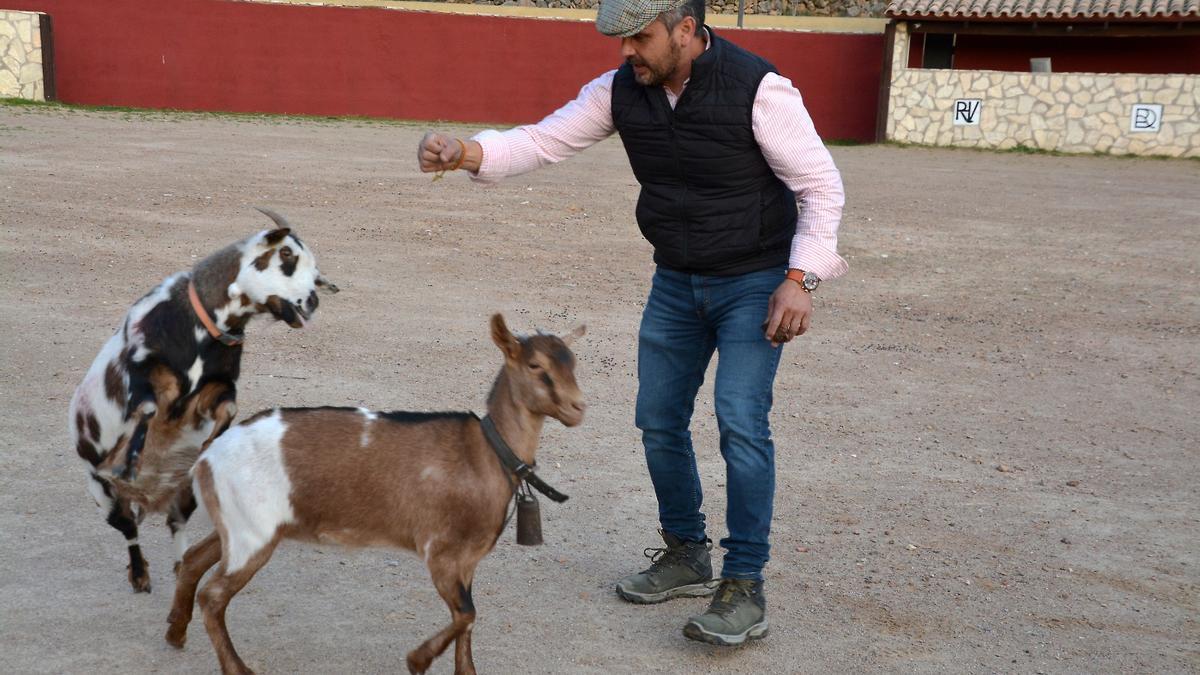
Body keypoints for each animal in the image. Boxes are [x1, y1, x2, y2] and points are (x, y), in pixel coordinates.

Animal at [70, 207, 338, 590]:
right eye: (286, 255)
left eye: (314, 274)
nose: (313, 301)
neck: (199, 328)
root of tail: (150, 498)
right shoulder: (141, 370)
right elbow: (147, 408)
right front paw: (131, 460)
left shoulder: (215, 387)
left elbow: (229, 408)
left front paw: (211, 443)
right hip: (103, 494)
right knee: (129, 528)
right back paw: (140, 575)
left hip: (185, 494)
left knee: (176, 523)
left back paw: (180, 564)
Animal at [164, 314, 585, 672]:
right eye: (536, 366)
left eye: (573, 362)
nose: (578, 407)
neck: (487, 454)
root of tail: (210, 453)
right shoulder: (440, 552)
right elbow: (467, 613)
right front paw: (417, 660)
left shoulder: (468, 559)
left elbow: (466, 618)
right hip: (252, 533)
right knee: (213, 596)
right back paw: (236, 667)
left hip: (239, 525)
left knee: (193, 560)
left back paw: (175, 631)